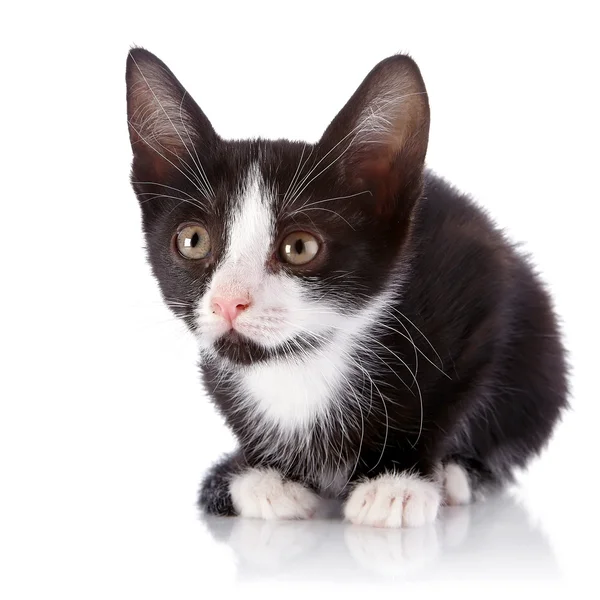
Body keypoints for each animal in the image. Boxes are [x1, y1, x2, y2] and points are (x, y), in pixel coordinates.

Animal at [125, 48, 568, 524]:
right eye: (193, 240)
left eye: (300, 247)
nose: (228, 303)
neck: (304, 361)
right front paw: (266, 476)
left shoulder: (479, 287)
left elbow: (455, 394)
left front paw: (398, 481)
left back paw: (457, 475)